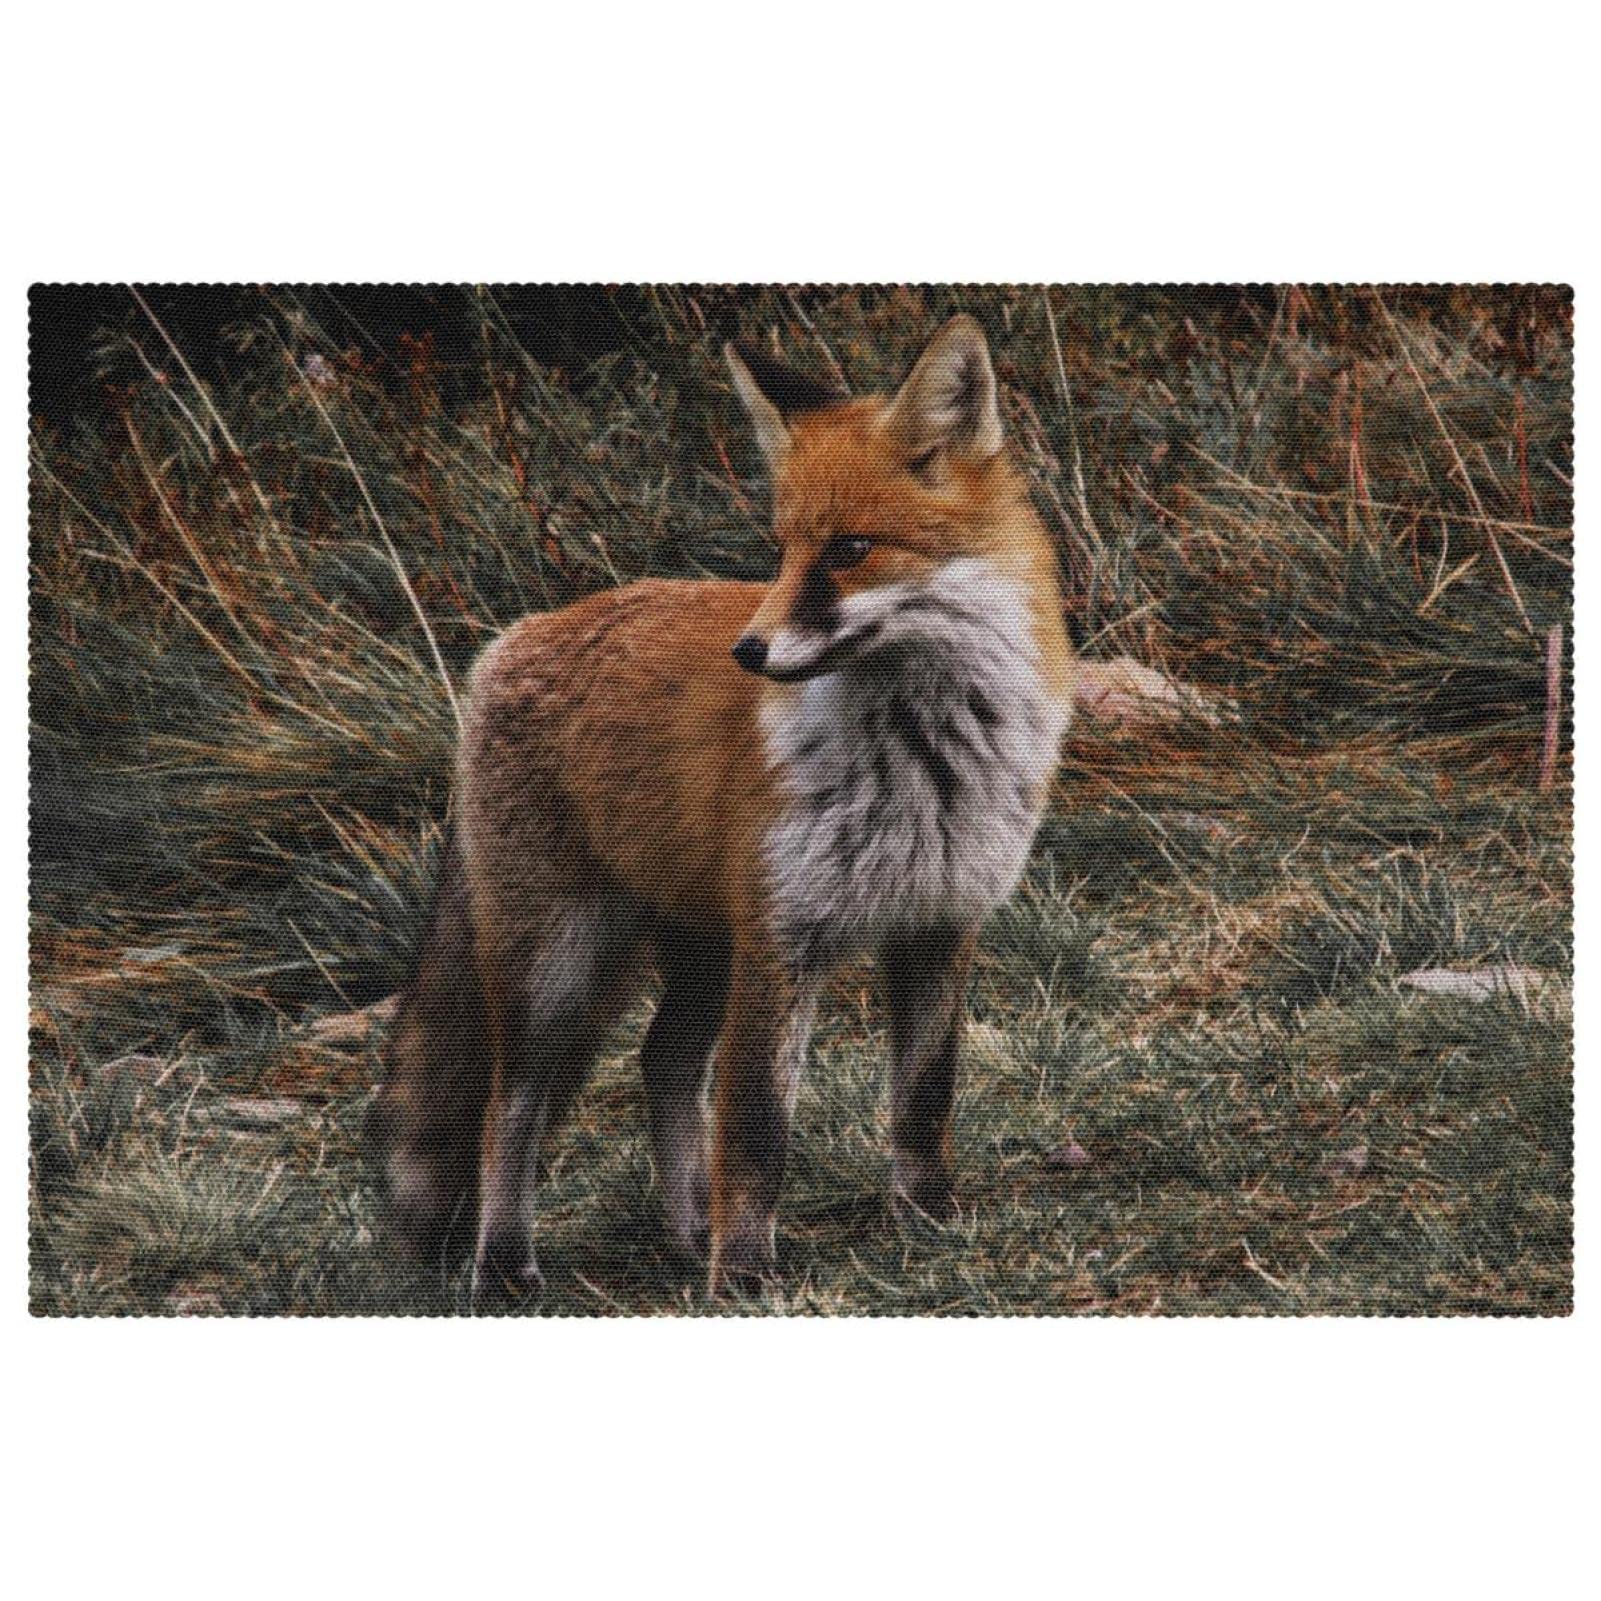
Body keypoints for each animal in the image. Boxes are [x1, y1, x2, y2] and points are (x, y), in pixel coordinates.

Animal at [369, 313, 1076, 1298]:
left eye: (849, 549)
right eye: (779, 550)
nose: (749, 650)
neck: (923, 756)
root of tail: (511, 640)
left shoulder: (938, 920)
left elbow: (923, 1096)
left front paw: (927, 1219)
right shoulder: (782, 938)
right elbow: (754, 1127)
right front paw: (741, 1270)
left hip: (700, 949)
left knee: (661, 1062)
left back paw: (682, 1230)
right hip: (558, 966)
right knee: (508, 1105)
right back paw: (507, 1263)